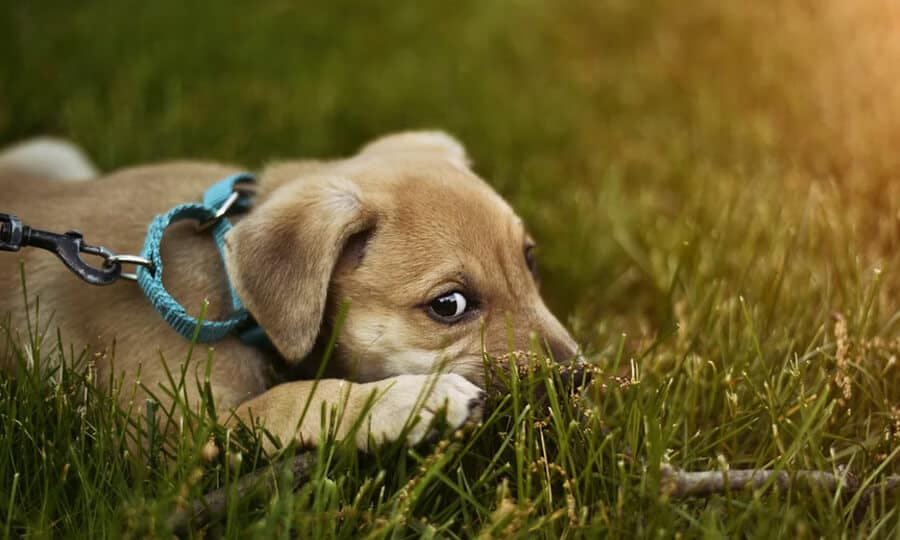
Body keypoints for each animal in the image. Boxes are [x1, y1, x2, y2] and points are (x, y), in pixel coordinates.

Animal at [0, 132, 576, 452]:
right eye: (449, 305)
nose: (578, 378)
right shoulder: (169, 439)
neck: (230, 292)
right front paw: (412, 400)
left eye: (529, 260)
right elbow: (293, 399)